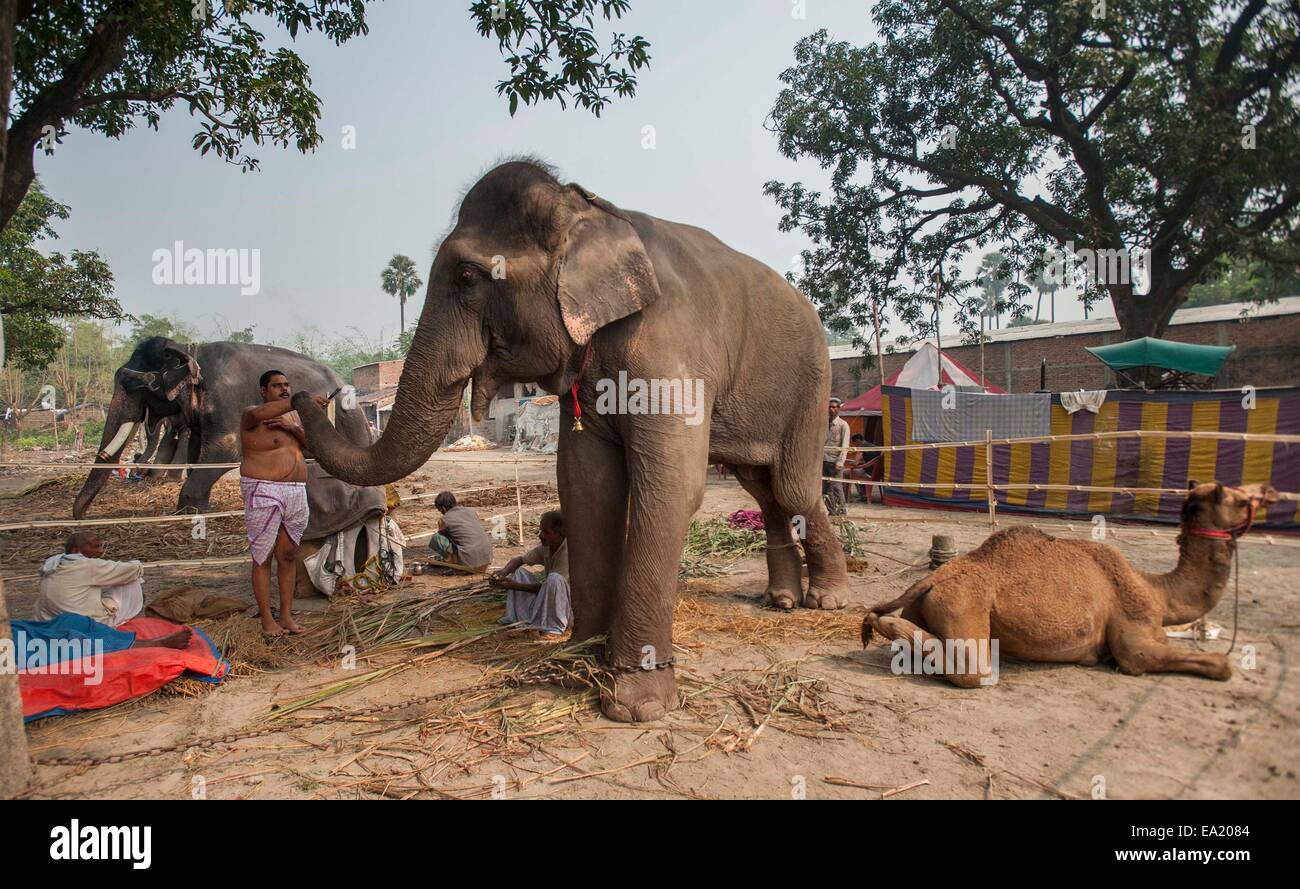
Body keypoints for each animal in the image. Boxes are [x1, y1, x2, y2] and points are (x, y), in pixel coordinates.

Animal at [74, 337, 371, 517]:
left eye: (136, 385)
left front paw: (187, 511)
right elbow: (196, 451)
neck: (190, 349)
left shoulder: (227, 400)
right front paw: (197, 508)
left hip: (349, 420)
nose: (81, 516)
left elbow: (224, 450)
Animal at [295, 161, 852, 722]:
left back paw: (826, 601)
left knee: (793, 486)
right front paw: (578, 659)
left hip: (810, 387)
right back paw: (782, 599)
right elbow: (585, 482)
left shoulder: (671, 351)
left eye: (468, 277)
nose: (301, 393)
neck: (590, 210)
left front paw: (637, 704)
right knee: (765, 489)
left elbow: (670, 485)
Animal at [857, 483, 1274, 686]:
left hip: (934, 601)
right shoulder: (1135, 641)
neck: (1159, 594)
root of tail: (933, 578)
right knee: (974, 669)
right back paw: (887, 625)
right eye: (1240, 497)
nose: (1269, 492)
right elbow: (1219, 664)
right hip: (963, 603)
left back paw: (886, 626)